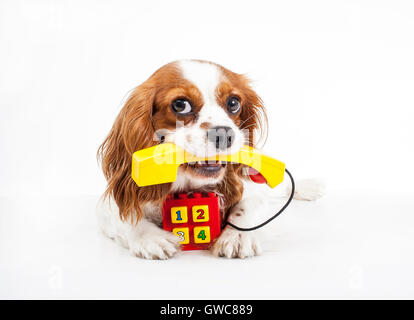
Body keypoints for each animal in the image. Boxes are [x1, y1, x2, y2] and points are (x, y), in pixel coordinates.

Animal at [97, 59, 324, 260]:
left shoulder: (251, 190)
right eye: (180, 105)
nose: (224, 134)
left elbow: (248, 206)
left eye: (233, 103)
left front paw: (237, 235)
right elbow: (126, 216)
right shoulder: (109, 205)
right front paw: (150, 237)